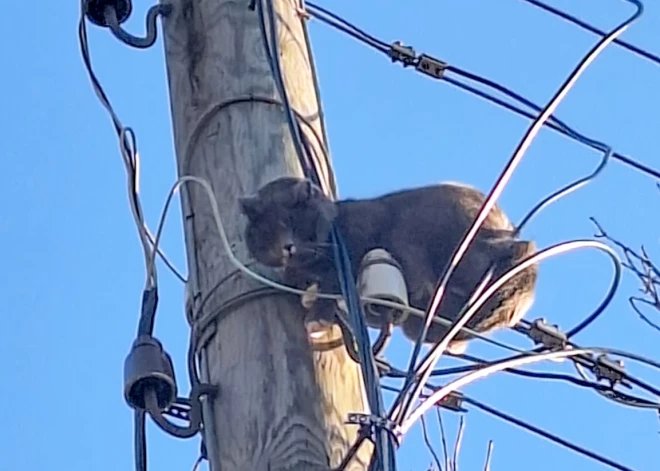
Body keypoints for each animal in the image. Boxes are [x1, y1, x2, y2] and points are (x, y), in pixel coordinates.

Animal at [240, 177, 540, 354]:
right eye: (269, 230)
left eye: (296, 222)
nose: (287, 246)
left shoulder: (354, 247)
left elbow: (332, 284)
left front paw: (317, 316)